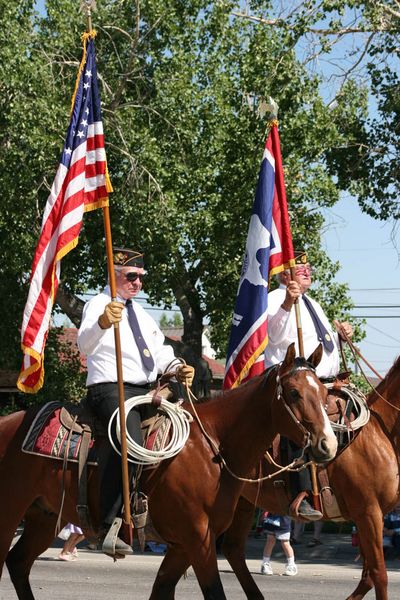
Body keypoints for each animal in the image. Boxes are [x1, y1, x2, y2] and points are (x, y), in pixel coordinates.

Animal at [0, 342, 338, 600]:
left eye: (324, 394)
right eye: (293, 392)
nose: (328, 443)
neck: (213, 447)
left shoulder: (183, 545)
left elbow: (161, 589)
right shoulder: (198, 539)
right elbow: (214, 593)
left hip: (44, 515)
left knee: (18, 563)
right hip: (10, 512)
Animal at [222, 354, 400, 596]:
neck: (380, 435)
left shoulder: (369, 517)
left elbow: (368, 576)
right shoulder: (369, 513)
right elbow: (379, 575)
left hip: (244, 502)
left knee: (232, 549)